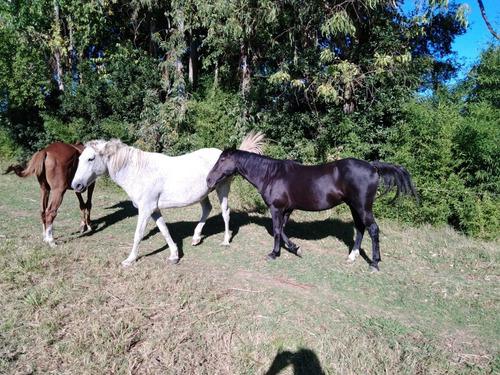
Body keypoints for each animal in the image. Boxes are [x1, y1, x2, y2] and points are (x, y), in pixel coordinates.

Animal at [72, 133, 266, 268]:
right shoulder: (154, 210)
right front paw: (174, 255)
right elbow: (164, 230)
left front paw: (129, 259)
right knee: (207, 209)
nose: (76, 185)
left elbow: (138, 235)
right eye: (79, 158)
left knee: (225, 212)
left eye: (91, 158)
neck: (138, 172)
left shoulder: (145, 209)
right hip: (203, 194)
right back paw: (196, 238)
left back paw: (225, 240)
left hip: (222, 189)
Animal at [207, 151, 418, 274]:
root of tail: (373, 167)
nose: (209, 180)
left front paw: (274, 253)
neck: (272, 175)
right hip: (354, 206)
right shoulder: (287, 209)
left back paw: (374, 263)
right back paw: (352, 256)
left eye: (223, 159)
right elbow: (282, 230)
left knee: (373, 229)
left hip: (362, 207)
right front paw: (295, 248)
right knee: (360, 228)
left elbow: (276, 231)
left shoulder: (276, 208)